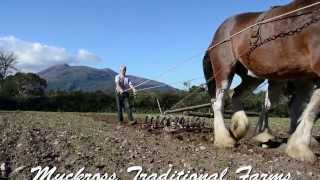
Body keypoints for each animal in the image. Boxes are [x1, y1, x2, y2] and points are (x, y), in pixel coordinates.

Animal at [204, 0, 320, 162]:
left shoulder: (305, 78)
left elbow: (305, 108)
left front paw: (297, 143)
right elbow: (312, 109)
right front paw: (300, 147)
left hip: (253, 76)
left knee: (236, 94)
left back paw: (239, 128)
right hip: (224, 70)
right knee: (218, 102)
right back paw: (224, 139)